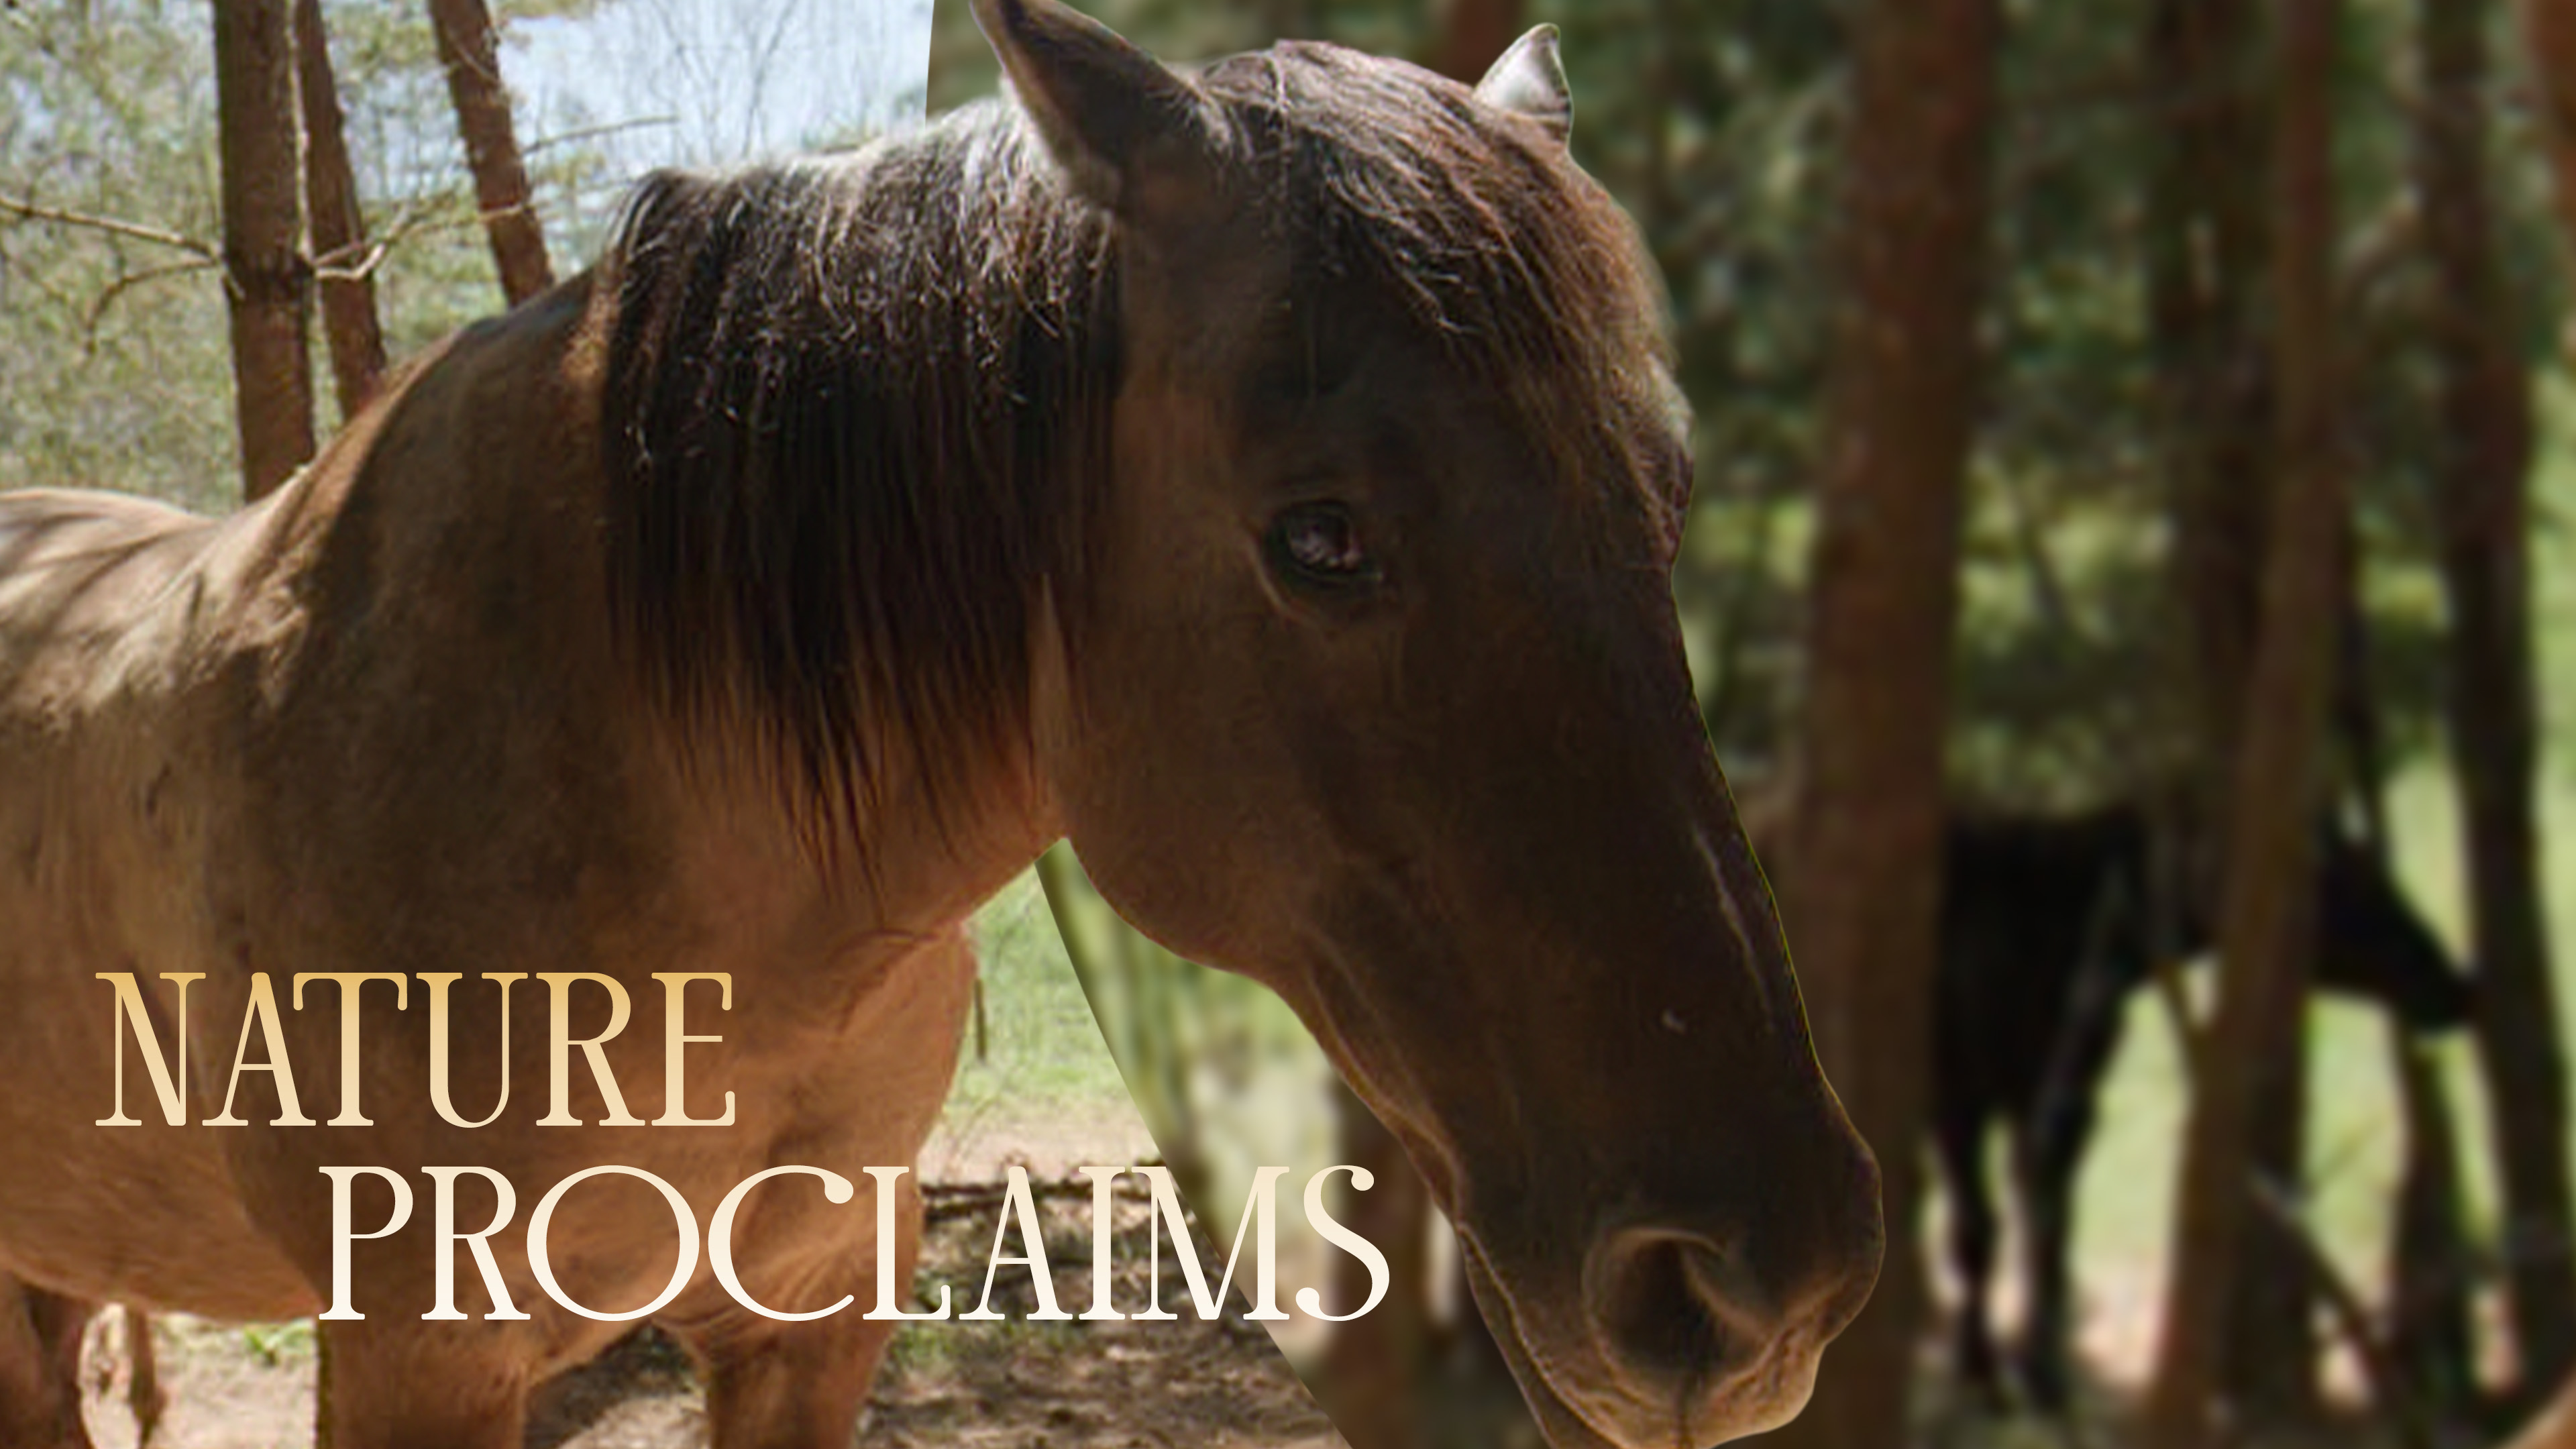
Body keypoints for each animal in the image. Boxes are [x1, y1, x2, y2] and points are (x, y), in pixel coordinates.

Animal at [1931, 803, 2473, 1412]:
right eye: (2353, 885)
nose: (2457, 988)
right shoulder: (1961, 1095)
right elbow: (1976, 1232)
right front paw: (1980, 1372)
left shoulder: (2061, 1091)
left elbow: (2049, 1226)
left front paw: (2042, 1378)